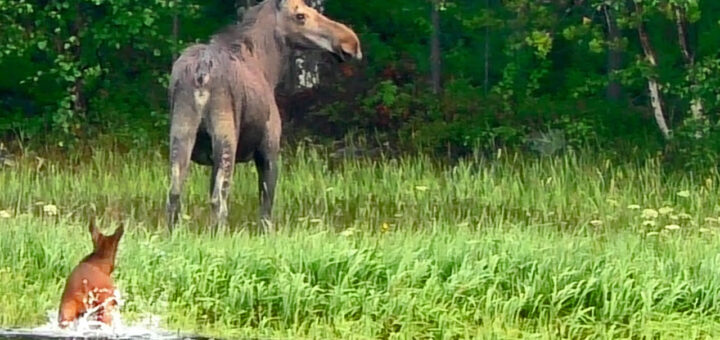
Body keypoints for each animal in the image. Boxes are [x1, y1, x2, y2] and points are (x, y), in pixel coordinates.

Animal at [167, 0, 360, 232]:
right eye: (300, 16)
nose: (350, 42)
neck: (269, 66)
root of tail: (201, 73)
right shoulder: (269, 149)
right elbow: (266, 208)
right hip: (225, 135)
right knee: (219, 198)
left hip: (181, 130)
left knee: (174, 194)